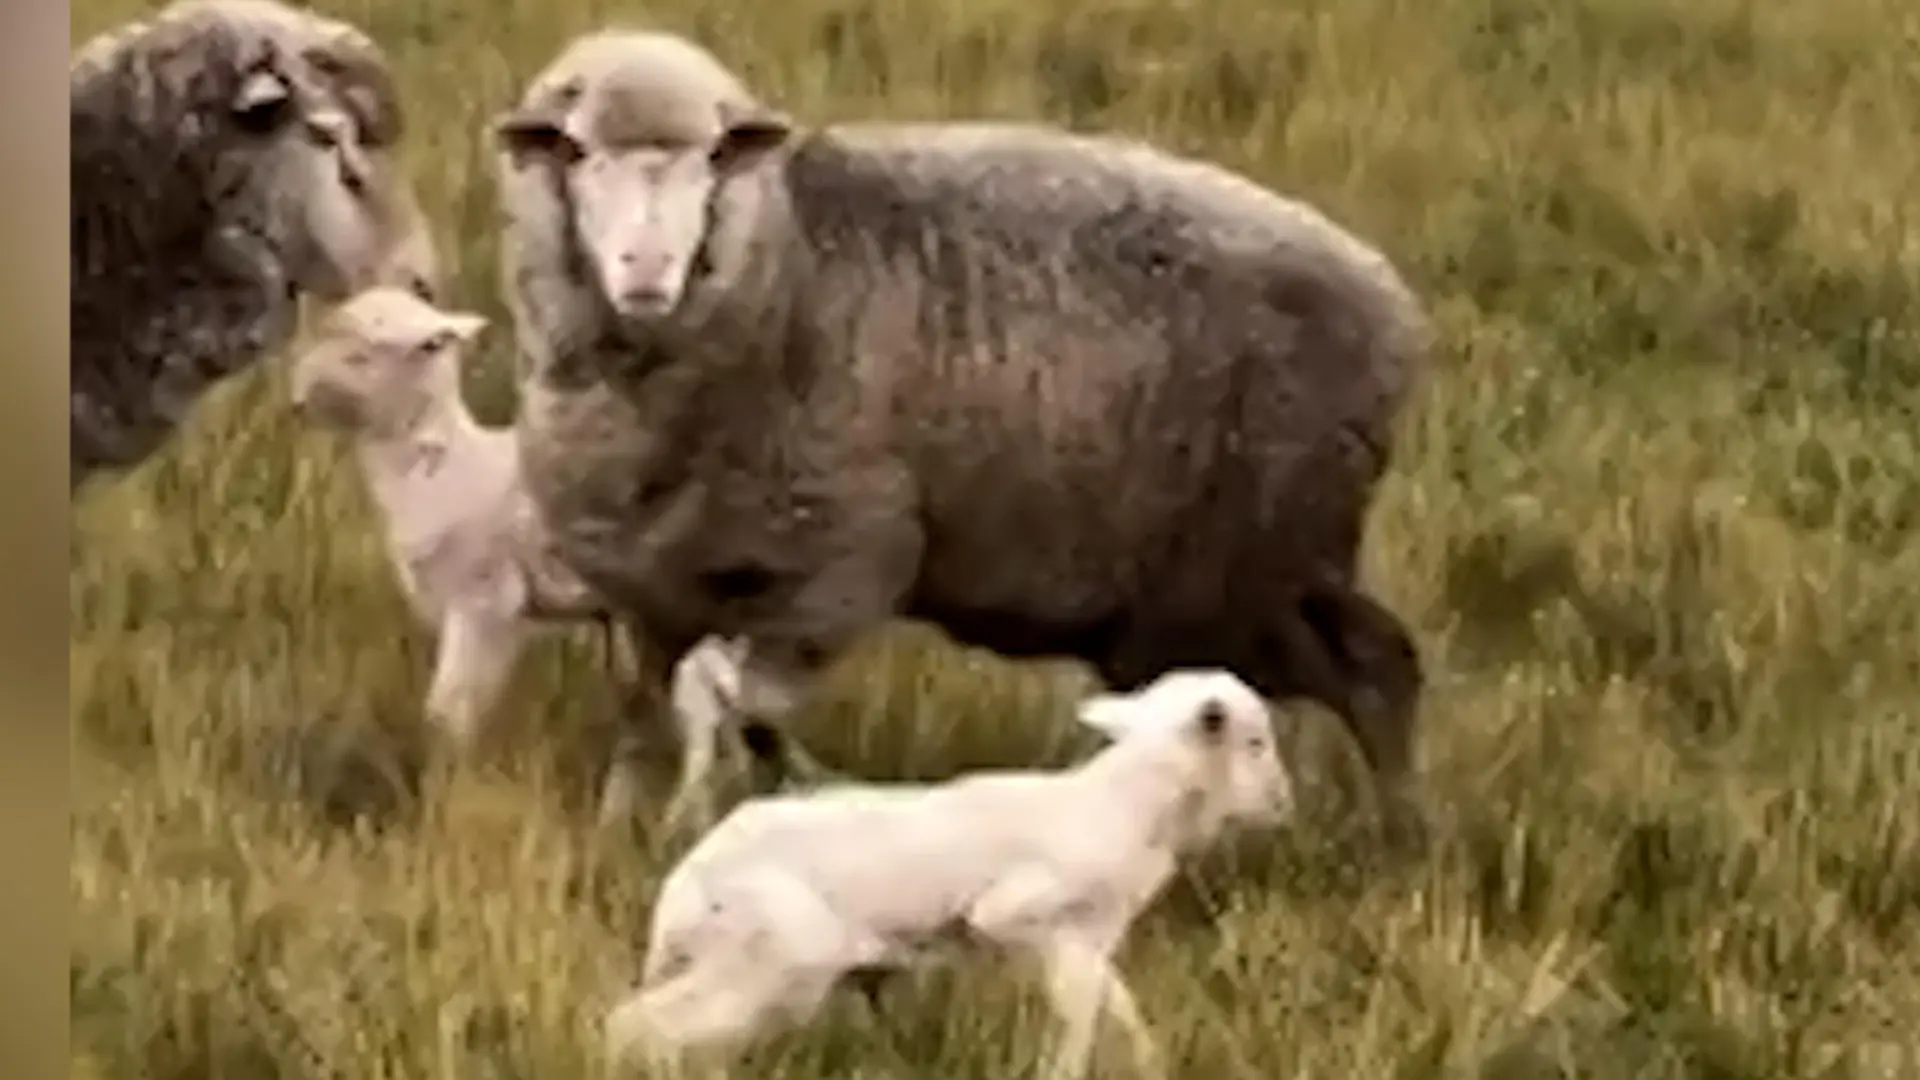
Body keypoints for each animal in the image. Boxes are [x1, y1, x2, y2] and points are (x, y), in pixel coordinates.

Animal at [286, 285, 758, 827]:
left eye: (360, 354)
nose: (296, 402)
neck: (446, 469)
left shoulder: (484, 601)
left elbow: (447, 712)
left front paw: (442, 803)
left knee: (703, 711)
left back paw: (679, 817)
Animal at [492, 29, 1433, 849]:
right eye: (577, 155)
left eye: (716, 160)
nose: (647, 274)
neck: (782, 268)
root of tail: (1390, 301)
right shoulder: (648, 588)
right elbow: (646, 719)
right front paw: (618, 830)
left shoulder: (838, 568)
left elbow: (744, 710)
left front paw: (767, 801)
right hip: (1224, 591)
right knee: (1362, 664)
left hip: (1248, 569)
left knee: (1381, 666)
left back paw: (1401, 835)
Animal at [604, 668, 1295, 1079]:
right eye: (1255, 742)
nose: (1283, 802)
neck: (1129, 805)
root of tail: (681, 890)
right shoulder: (1023, 916)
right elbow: (1083, 1013)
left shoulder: (1085, 941)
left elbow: (1114, 1008)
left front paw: (1148, 1062)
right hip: (776, 960)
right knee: (641, 1026)